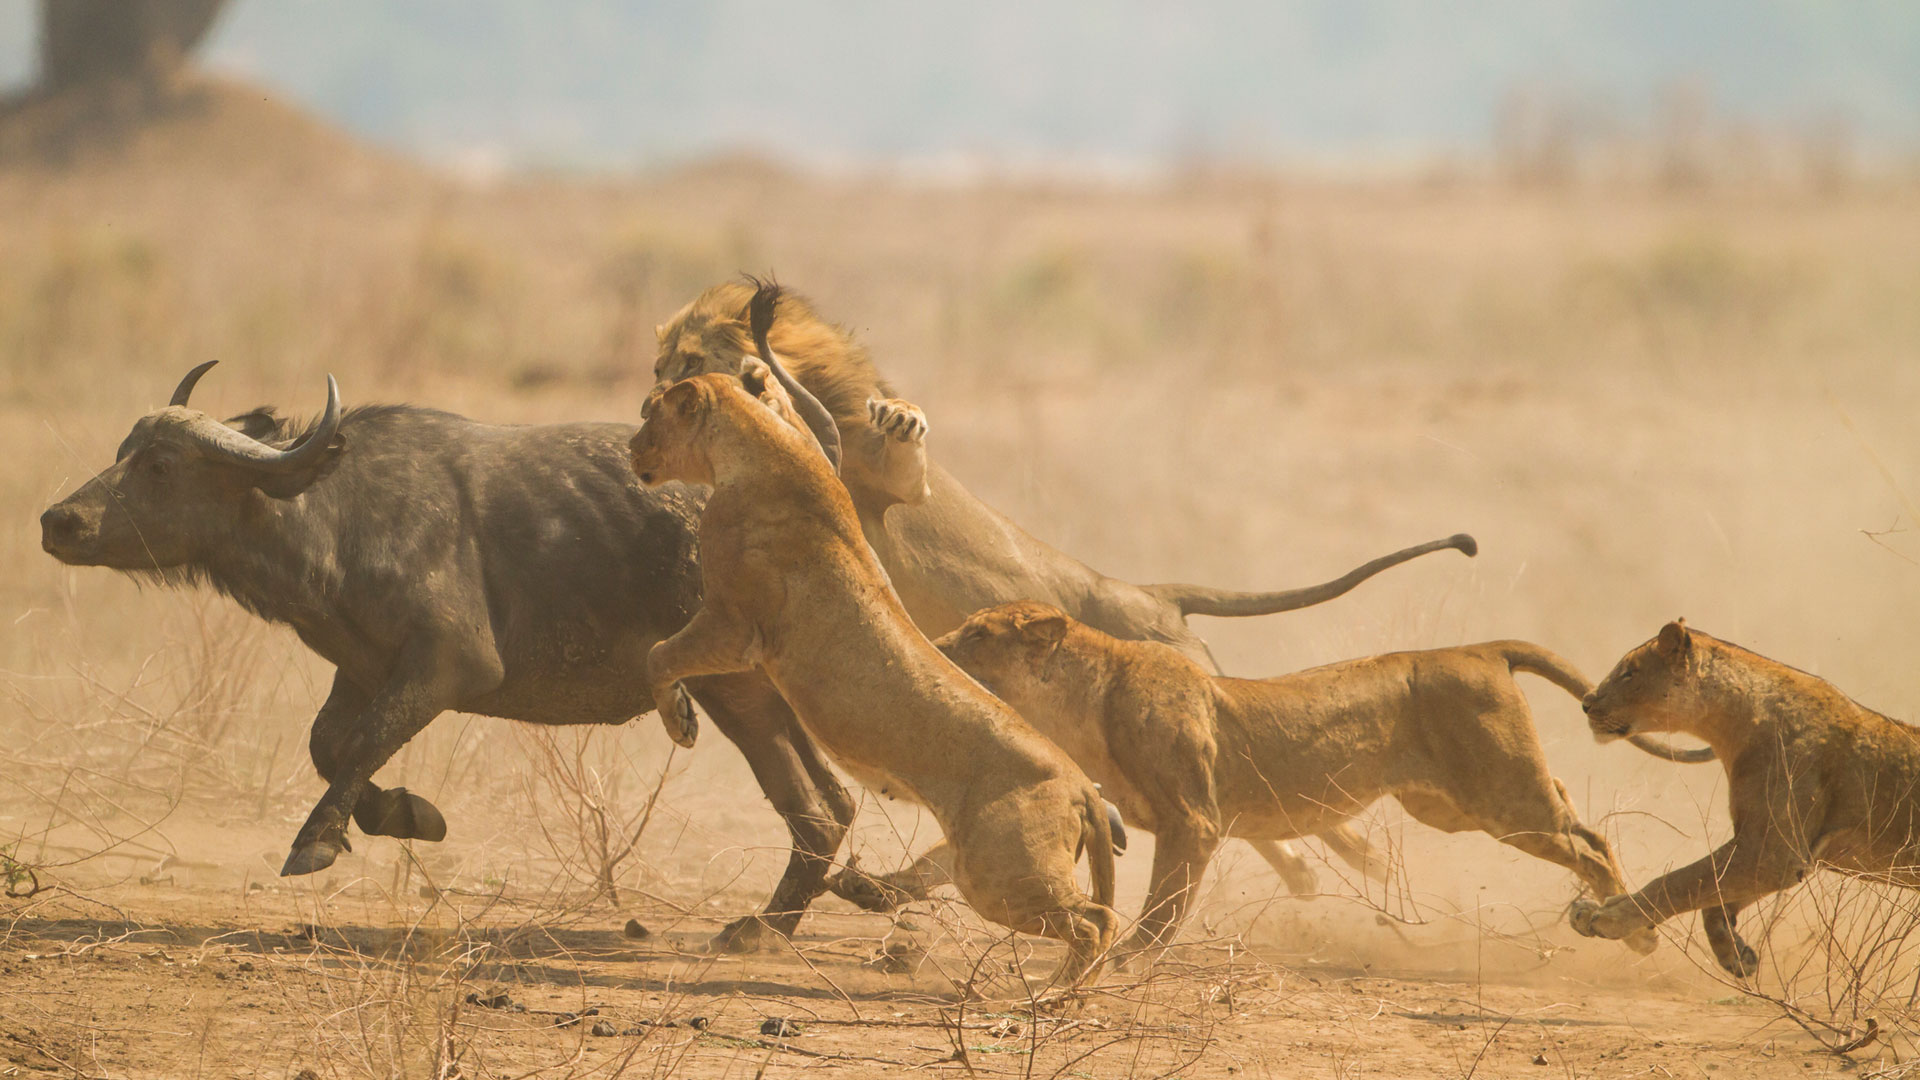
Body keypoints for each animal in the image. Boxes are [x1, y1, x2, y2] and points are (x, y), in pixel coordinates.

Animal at [41, 359, 852, 941]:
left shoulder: (447, 665)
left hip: (732, 688)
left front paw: (318, 842)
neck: (335, 513)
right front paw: (407, 813)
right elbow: (329, 744)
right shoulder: (361, 666)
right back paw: (809, 907)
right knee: (834, 803)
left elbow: (360, 741)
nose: (59, 521)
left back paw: (763, 930)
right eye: (124, 451)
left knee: (813, 808)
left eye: (161, 466)